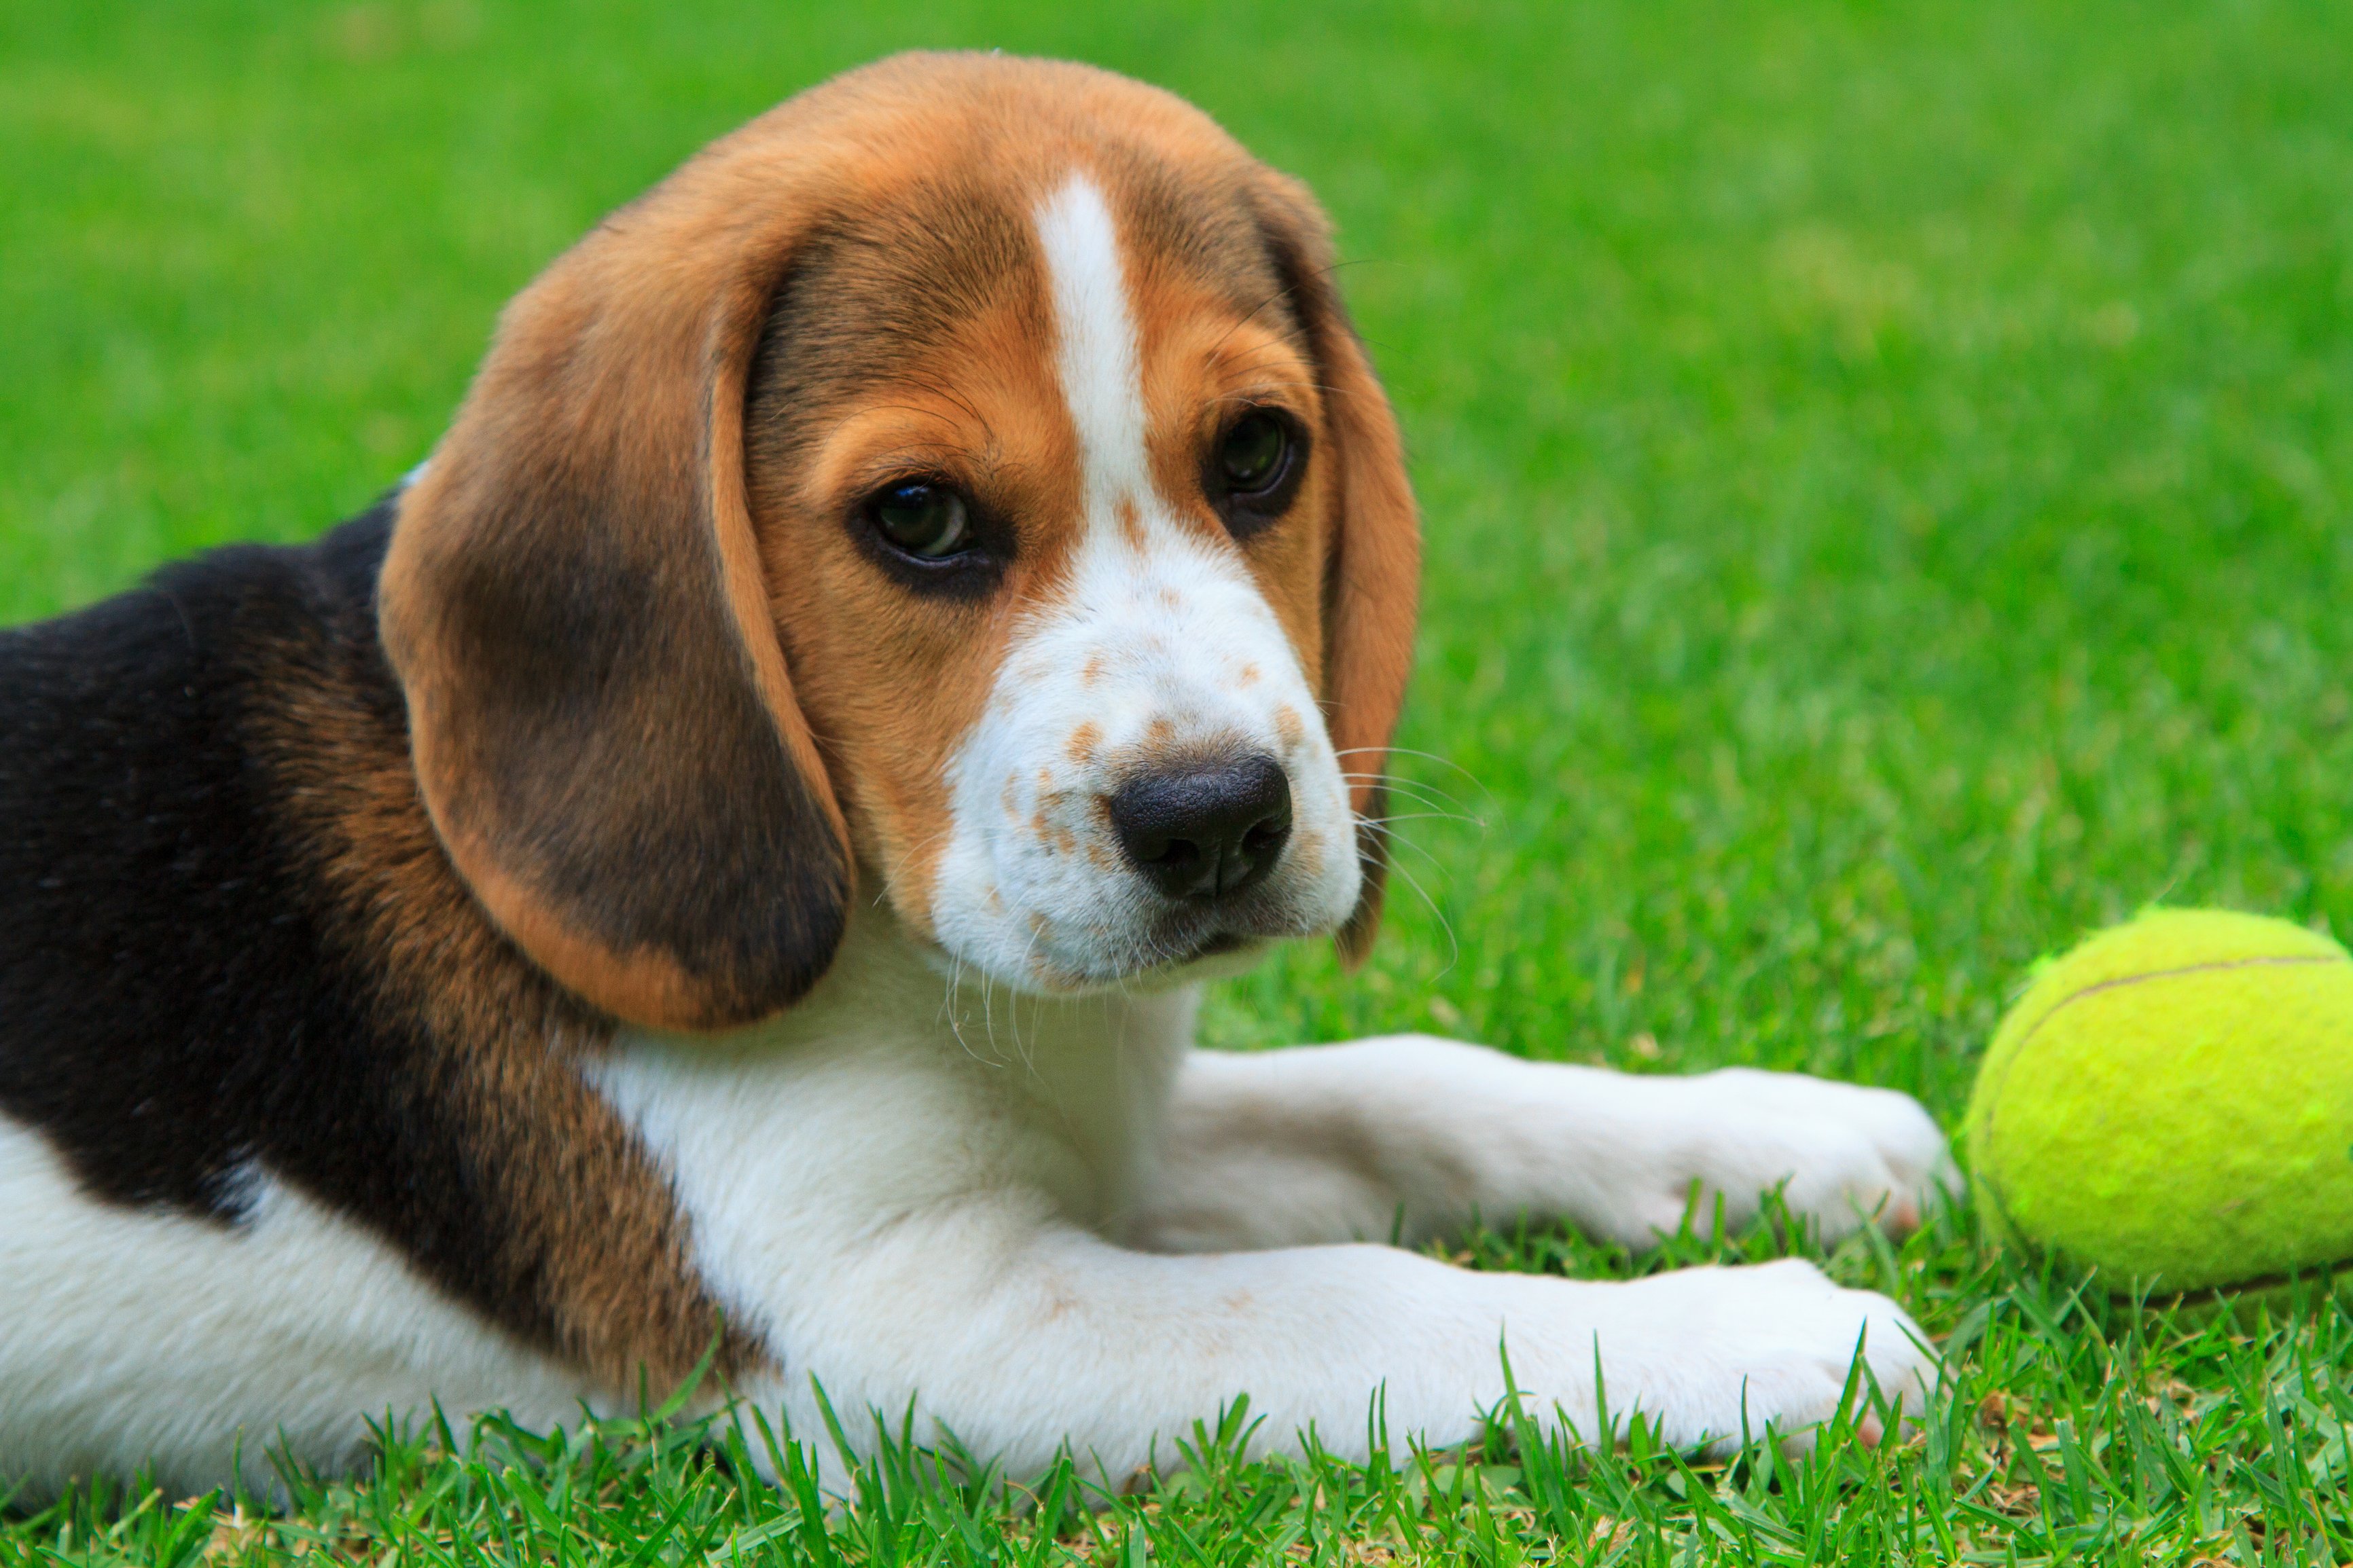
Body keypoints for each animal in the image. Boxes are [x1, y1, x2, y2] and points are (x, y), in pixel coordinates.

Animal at [0, 52, 1948, 1495]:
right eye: (920, 518)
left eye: (1261, 453)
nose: (1218, 819)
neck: (920, 955)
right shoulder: (918, 1324)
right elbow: (1352, 1294)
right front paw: (1755, 1330)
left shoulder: (1106, 1132)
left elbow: (1403, 1084)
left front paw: (1777, 1134)